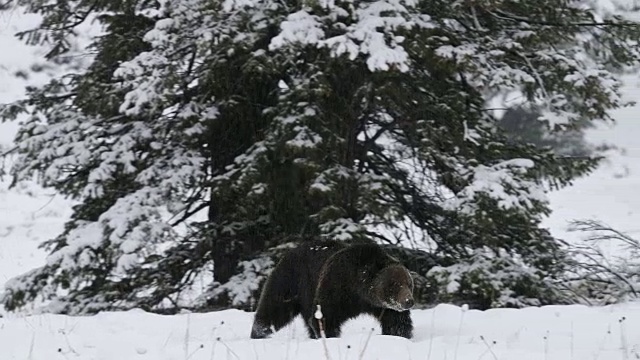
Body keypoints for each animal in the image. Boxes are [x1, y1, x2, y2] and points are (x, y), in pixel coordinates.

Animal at [250, 240, 416, 338]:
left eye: (409, 283)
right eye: (395, 284)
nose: (409, 301)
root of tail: (288, 252)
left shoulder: (384, 307)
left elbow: (396, 322)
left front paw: (399, 335)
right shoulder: (337, 285)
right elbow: (325, 315)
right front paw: (329, 336)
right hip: (291, 280)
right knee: (274, 307)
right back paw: (259, 332)